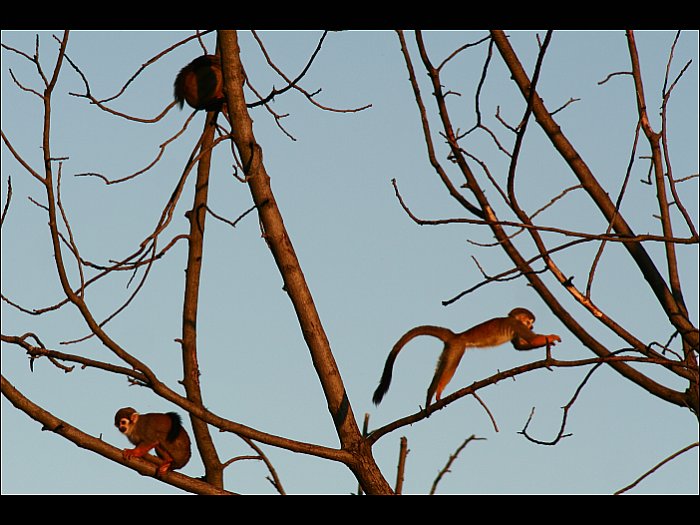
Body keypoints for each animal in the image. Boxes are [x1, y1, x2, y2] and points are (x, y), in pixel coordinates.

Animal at [372, 308, 562, 410]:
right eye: (529, 322)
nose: (532, 326)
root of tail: (456, 335)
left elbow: (519, 346)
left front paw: (548, 341)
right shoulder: (516, 325)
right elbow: (531, 340)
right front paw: (551, 337)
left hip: (449, 348)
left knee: (443, 368)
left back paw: (433, 395)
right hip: (458, 348)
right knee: (451, 366)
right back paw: (433, 394)